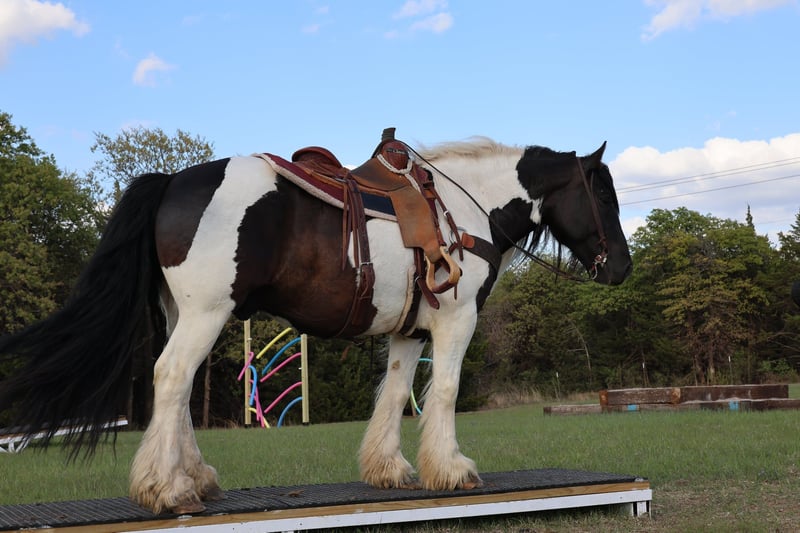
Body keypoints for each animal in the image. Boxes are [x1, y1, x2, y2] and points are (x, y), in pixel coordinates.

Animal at [0, 133, 632, 514]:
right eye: (604, 195)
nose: (622, 268)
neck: (463, 210)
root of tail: (173, 180)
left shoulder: (408, 332)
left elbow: (395, 393)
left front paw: (389, 468)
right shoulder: (458, 320)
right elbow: (447, 391)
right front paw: (452, 470)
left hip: (186, 313)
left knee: (176, 390)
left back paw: (195, 477)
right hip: (206, 312)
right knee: (172, 377)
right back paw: (170, 489)